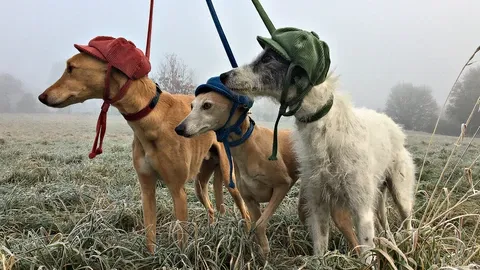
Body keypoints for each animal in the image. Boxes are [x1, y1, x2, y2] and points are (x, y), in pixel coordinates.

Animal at [36, 51, 251, 254]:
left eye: (71, 68)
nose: (41, 97)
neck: (152, 116)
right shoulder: (146, 189)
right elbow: (150, 233)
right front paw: (152, 257)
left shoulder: (177, 191)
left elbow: (182, 237)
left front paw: (181, 258)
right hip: (200, 183)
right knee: (212, 209)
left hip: (229, 176)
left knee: (245, 210)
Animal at [174, 91, 358, 258]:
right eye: (192, 106)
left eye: (207, 105)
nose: (179, 128)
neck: (248, 146)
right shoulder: (250, 201)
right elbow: (256, 225)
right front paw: (263, 253)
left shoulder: (282, 186)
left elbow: (260, 225)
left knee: (350, 233)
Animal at [218, 48, 416, 260]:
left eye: (268, 58)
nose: (224, 76)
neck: (324, 127)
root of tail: (394, 126)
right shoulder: (318, 203)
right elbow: (320, 251)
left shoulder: (362, 210)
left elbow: (366, 253)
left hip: (400, 194)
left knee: (408, 224)